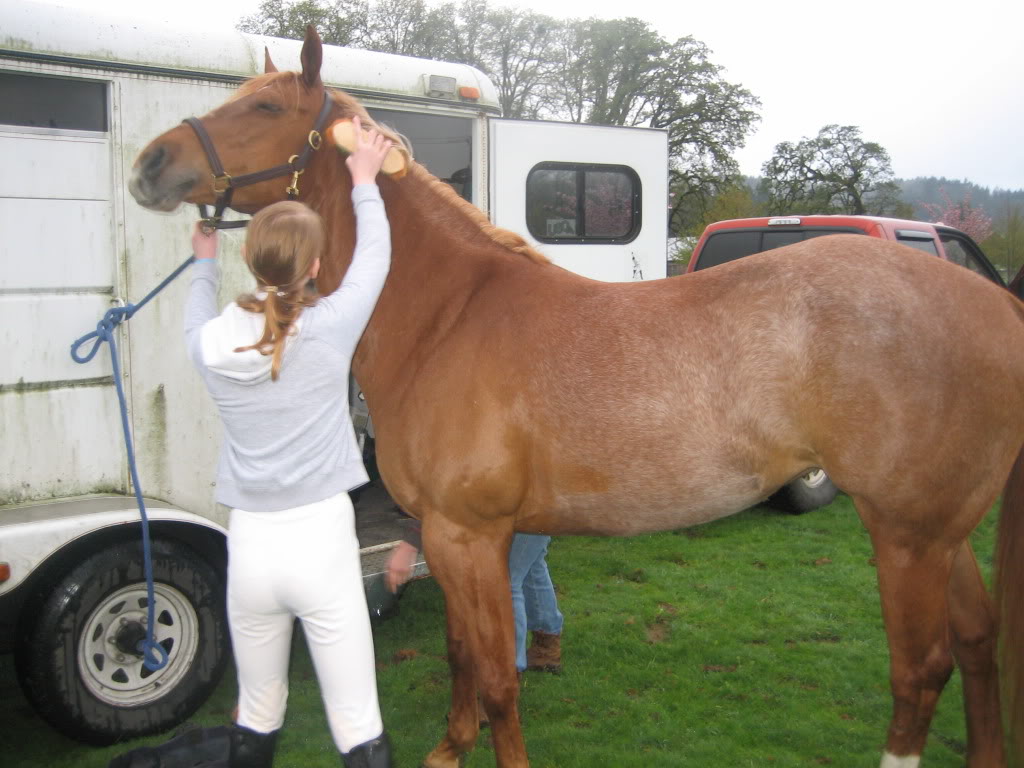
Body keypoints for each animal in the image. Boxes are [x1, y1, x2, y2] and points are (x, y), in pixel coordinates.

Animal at [130, 28, 1024, 768]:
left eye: (264, 106)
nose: (150, 165)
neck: (447, 317)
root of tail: (995, 302)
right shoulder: (449, 538)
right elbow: (463, 658)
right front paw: (449, 751)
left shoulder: (472, 536)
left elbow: (499, 677)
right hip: (939, 531)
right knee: (980, 640)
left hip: (906, 534)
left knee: (922, 672)